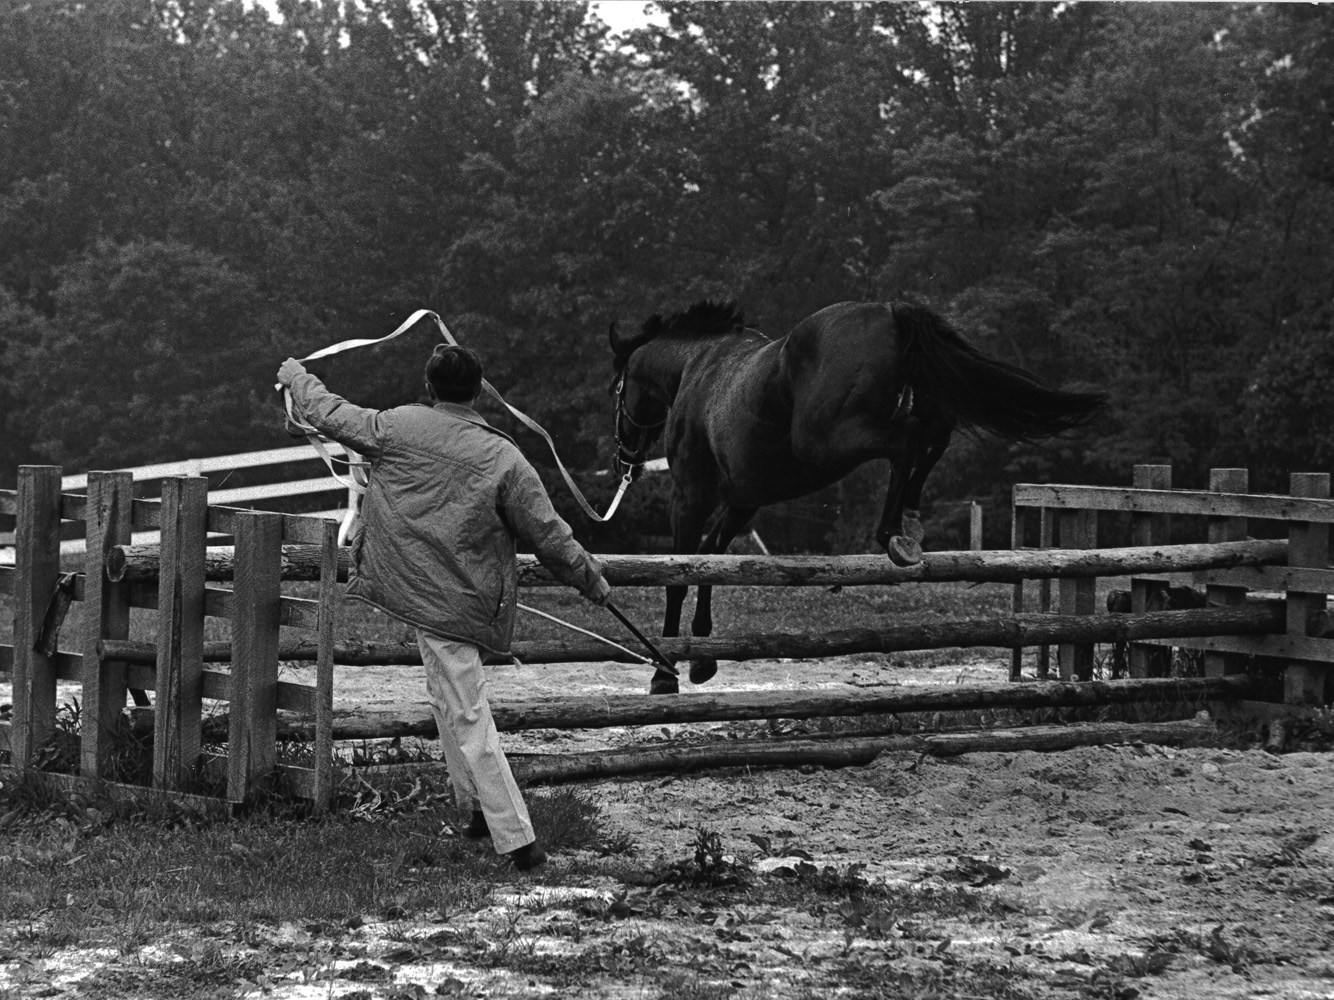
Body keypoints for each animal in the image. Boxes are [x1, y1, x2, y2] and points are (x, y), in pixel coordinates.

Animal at [610, 300, 1104, 698]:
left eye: (616, 388)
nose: (625, 458)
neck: (695, 368)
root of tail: (891, 311)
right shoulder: (742, 500)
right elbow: (710, 559)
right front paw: (701, 657)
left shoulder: (690, 496)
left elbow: (680, 573)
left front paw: (665, 672)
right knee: (935, 433)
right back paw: (909, 521)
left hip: (829, 439)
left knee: (908, 439)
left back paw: (893, 534)